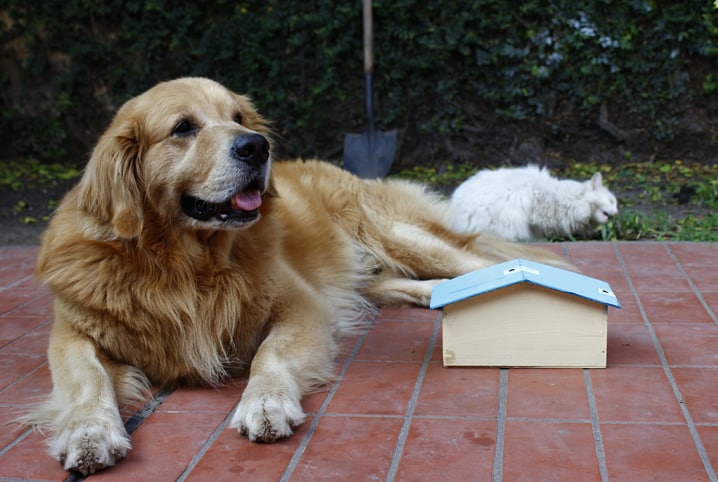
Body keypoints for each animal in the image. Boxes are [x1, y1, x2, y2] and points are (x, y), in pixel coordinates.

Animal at [28, 77, 576, 472]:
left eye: (237, 117)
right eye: (183, 127)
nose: (256, 147)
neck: (185, 265)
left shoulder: (300, 307)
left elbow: (268, 356)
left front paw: (266, 404)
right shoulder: (72, 332)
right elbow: (86, 378)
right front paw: (89, 432)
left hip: (397, 235)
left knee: (488, 267)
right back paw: (444, 297)